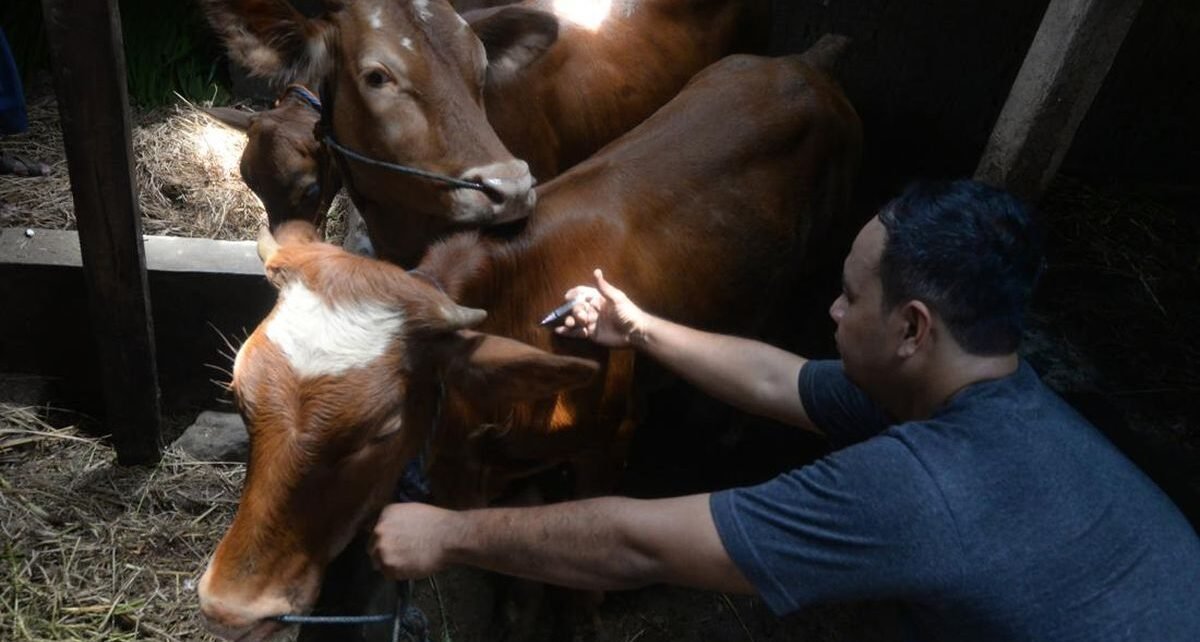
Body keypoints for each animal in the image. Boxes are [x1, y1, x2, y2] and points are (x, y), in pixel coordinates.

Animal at [196, 41, 859, 642]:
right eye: (241, 400)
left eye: (383, 429)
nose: (232, 607)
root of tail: (804, 62)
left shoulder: (610, 441)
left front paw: (583, 619)